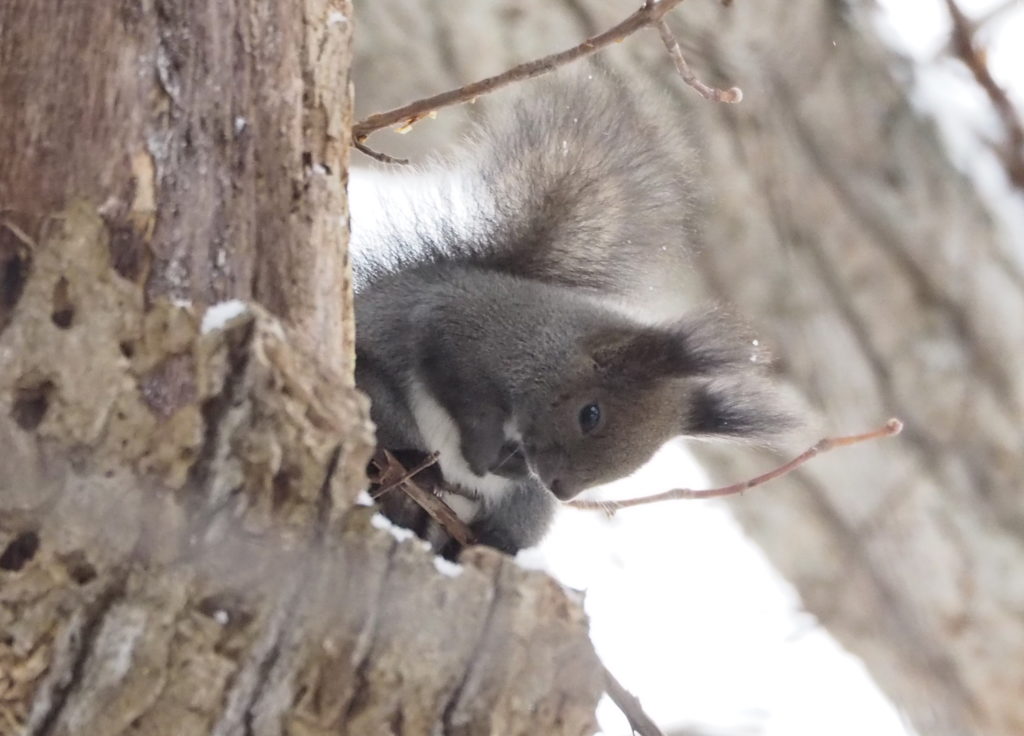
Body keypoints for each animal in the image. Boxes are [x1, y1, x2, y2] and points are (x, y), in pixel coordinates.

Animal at [348, 72, 794, 556]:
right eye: (590, 414)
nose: (562, 489)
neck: (553, 349)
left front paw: (508, 465)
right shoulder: (458, 327)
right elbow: (460, 391)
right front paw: (484, 450)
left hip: (527, 508)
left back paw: (489, 541)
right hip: (375, 397)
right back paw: (416, 470)